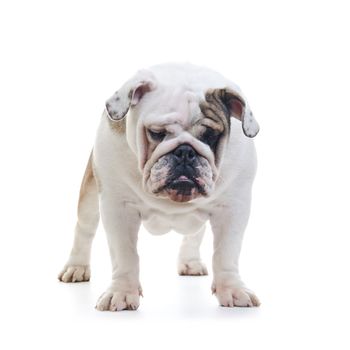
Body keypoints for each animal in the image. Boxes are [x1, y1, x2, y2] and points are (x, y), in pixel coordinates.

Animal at [58, 62, 260, 308]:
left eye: (211, 135)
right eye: (157, 133)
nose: (185, 152)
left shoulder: (233, 209)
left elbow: (226, 253)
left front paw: (232, 290)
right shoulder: (117, 208)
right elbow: (125, 255)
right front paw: (121, 293)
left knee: (195, 233)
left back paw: (190, 261)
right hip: (90, 193)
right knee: (84, 229)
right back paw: (76, 266)